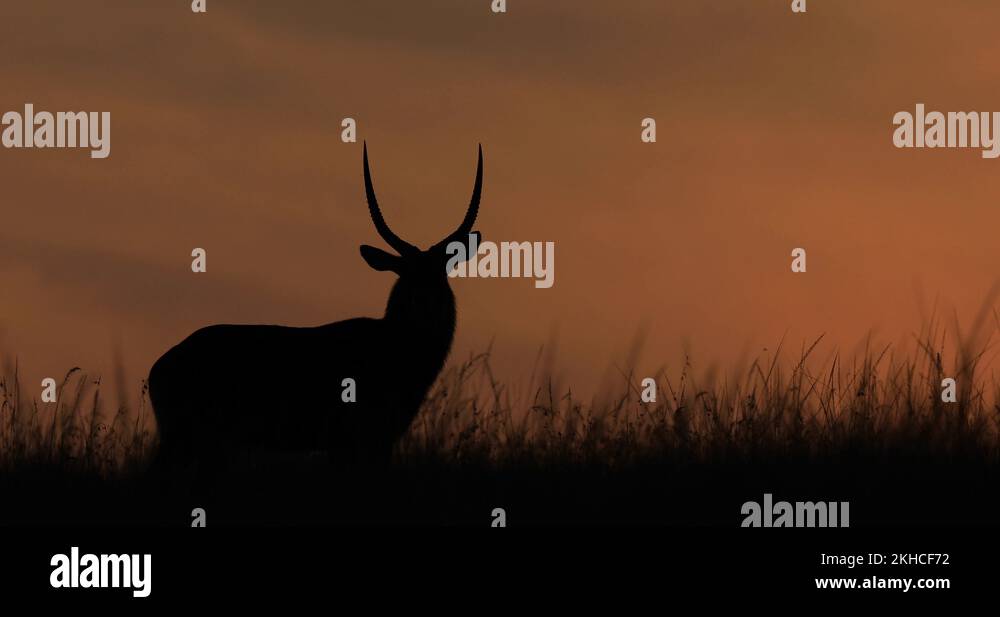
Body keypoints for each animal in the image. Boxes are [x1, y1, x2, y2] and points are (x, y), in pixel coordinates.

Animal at [148, 142, 483, 477]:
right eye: (407, 273)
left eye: (442, 273)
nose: (426, 305)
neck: (391, 343)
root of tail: (160, 367)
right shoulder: (354, 441)